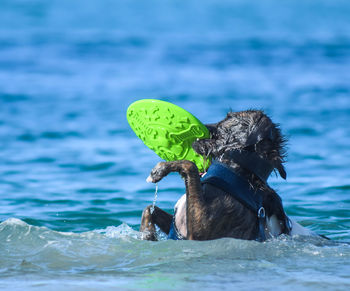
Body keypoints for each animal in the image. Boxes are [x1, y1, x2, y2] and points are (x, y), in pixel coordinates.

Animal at [139, 109, 318, 242]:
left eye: (229, 119)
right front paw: (147, 234)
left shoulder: (200, 232)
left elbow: (189, 165)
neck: (239, 172)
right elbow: (149, 209)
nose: (200, 127)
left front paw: (159, 170)